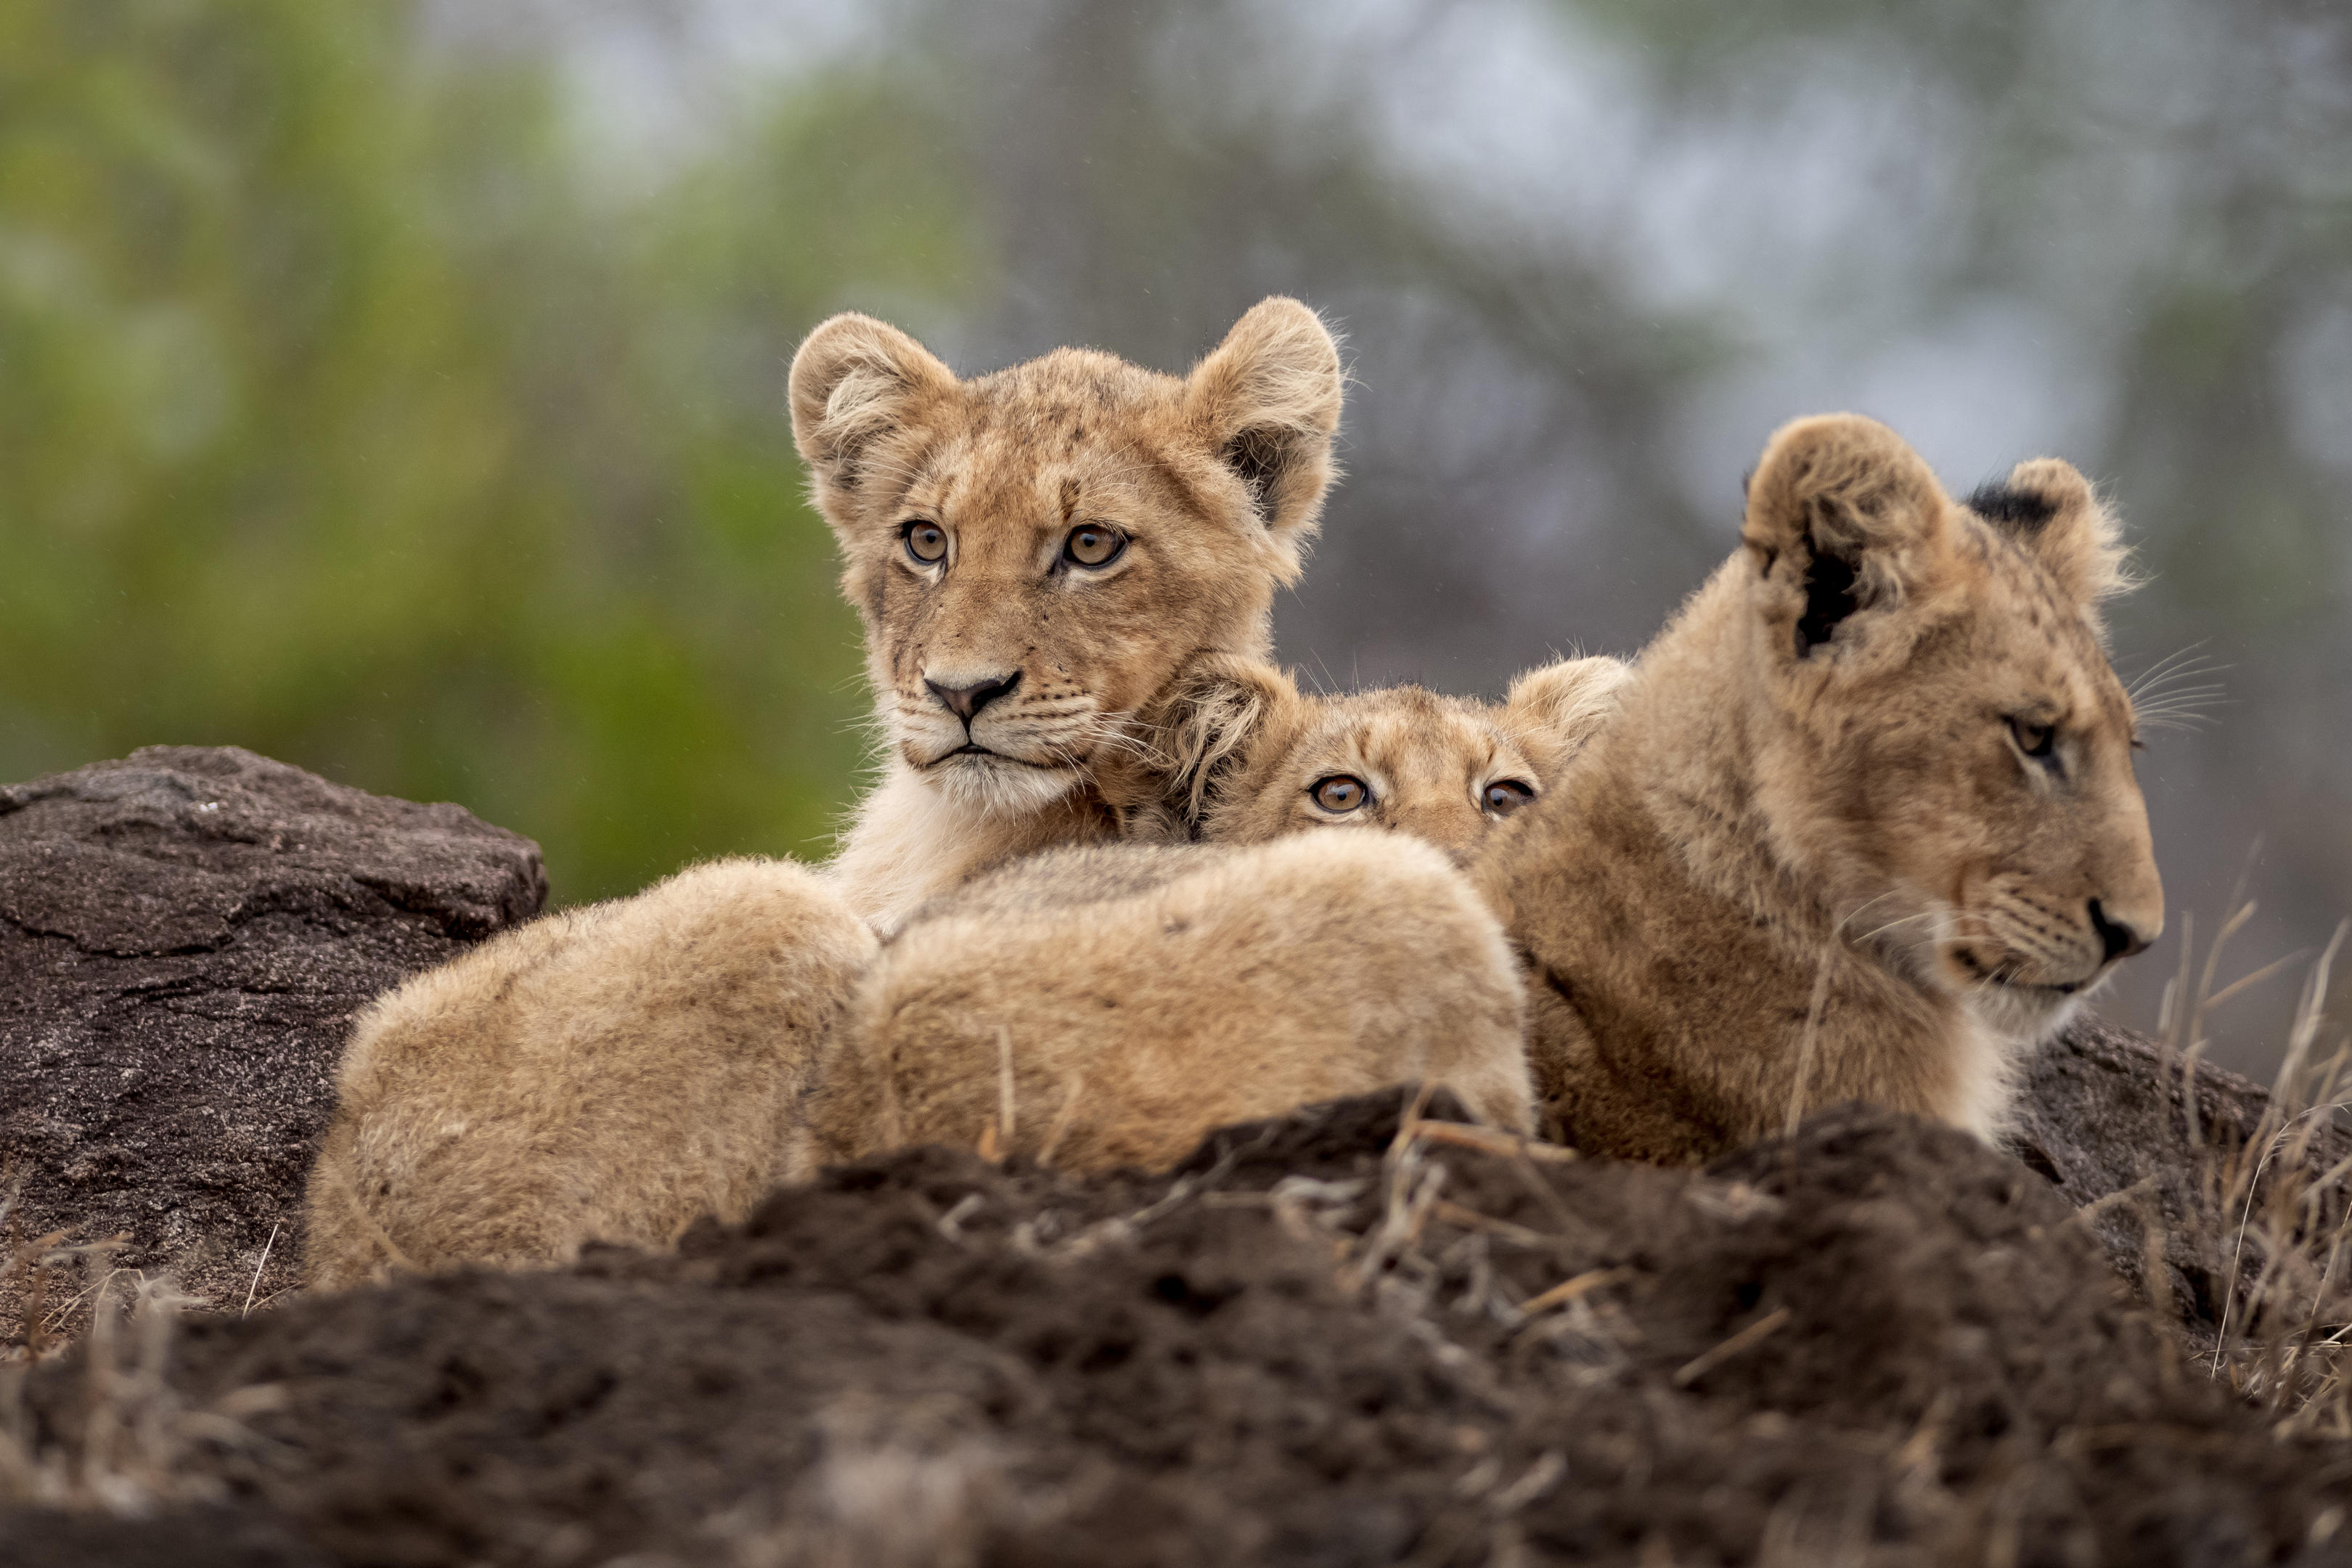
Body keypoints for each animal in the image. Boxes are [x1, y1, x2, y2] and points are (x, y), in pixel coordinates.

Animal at [302, 300, 1345, 1287]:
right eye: (926, 541)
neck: (936, 820)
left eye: (1091, 546)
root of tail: (331, 1240)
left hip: (763, 925)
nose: (961, 693)